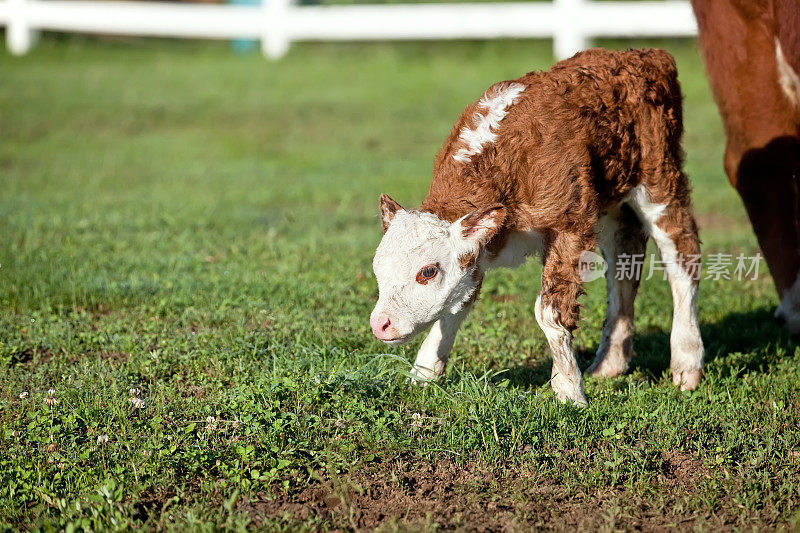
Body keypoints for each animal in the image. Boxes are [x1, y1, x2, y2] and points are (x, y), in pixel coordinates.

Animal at [370, 47, 708, 404]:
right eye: (378, 269)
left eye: (428, 272)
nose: (379, 324)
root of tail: (644, 55)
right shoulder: (479, 249)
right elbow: (455, 307)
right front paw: (423, 373)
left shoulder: (569, 224)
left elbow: (549, 311)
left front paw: (569, 391)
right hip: (612, 200)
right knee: (624, 265)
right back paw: (609, 363)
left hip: (660, 180)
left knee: (682, 256)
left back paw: (687, 363)